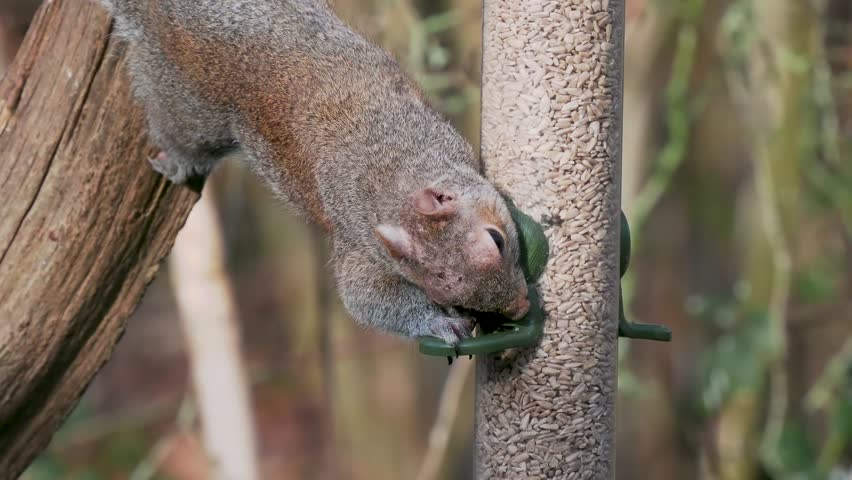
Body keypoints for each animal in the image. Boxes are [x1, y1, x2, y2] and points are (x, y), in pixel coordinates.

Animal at [99, 0, 530, 345]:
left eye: (497, 240)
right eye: (441, 294)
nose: (522, 308)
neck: (390, 179)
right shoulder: (361, 246)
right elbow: (366, 300)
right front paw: (440, 325)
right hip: (185, 106)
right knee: (181, 136)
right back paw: (170, 160)